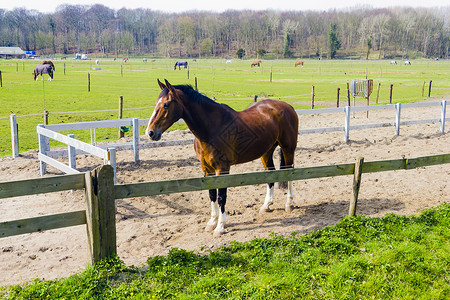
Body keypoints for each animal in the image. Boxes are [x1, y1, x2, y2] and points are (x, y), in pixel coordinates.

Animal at [145, 79, 298, 237]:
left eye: (166, 104)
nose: (150, 132)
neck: (212, 128)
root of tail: (288, 106)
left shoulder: (222, 169)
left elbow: (221, 197)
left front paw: (220, 226)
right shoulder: (207, 169)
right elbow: (212, 194)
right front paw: (212, 222)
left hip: (288, 148)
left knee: (290, 173)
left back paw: (289, 204)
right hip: (266, 152)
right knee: (271, 173)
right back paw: (266, 205)